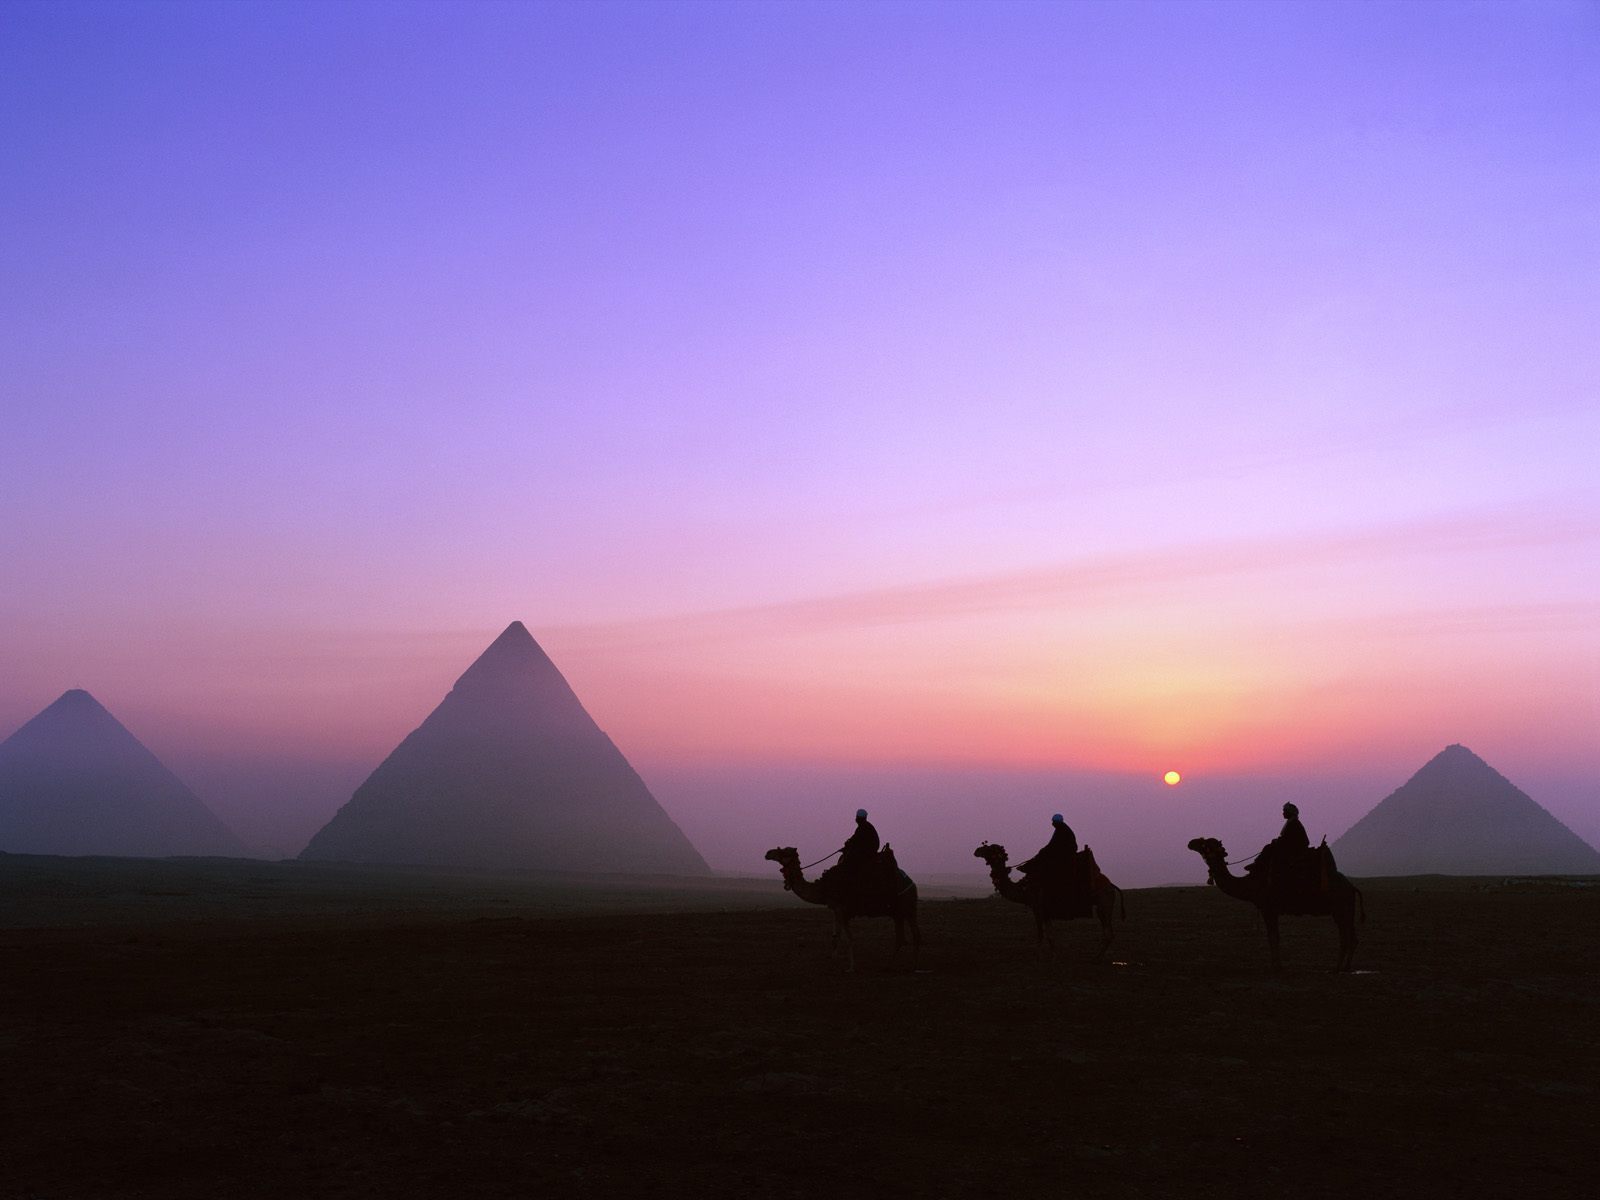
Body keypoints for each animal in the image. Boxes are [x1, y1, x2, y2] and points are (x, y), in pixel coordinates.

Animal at [764, 844, 921, 979]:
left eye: (784, 851)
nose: (767, 853)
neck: (823, 888)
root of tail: (912, 883)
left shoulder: (843, 910)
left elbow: (849, 938)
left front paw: (850, 968)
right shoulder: (835, 909)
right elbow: (835, 936)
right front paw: (833, 960)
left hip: (909, 907)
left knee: (915, 934)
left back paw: (914, 967)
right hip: (897, 912)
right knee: (901, 938)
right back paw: (889, 966)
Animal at [966, 838, 1120, 966]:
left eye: (990, 849)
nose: (976, 851)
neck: (1025, 888)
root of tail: (1110, 885)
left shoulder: (1037, 907)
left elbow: (1041, 933)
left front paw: (1038, 959)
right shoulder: (1046, 911)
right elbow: (1050, 934)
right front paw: (1053, 958)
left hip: (1103, 903)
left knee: (1108, 933)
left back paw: (1095, 958)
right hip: (1103, 906)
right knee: (1108, 932)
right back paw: (1096, 957)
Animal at [1190, 838, 1363, 979]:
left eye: (1205, 844)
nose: (1190, 843)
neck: (1250, 884)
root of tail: (1351, 887)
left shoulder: (1269, 909)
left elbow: (1273, 937)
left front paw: (1276, 967)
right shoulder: (1270, 910)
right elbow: (1274, 937)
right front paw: (1277, 966)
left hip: (1340, 909)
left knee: (1345, 937)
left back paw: (1336, 969)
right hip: (1346, 910)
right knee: (1352, 937)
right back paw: (1346, 968)